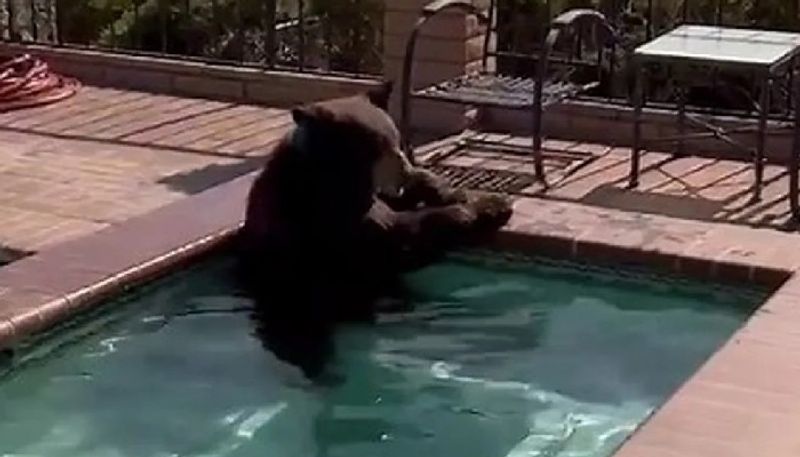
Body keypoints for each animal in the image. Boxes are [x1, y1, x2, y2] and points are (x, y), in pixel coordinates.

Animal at [238, 82, 512, 378]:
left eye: (395, 138)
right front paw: (491, 206)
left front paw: (446, 189)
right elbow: (398, 237)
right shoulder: (326, 214)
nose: (404, 170)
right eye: (376, 147)